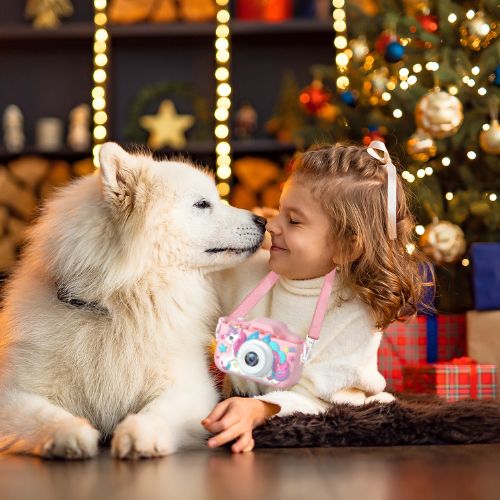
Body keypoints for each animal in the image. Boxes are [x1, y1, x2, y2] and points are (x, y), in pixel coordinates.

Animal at [0, 143, 266, 458]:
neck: (114, 305)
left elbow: (159, 411)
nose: (263, 220)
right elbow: (45, 415)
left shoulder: (191, 387)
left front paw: (139, 434)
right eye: (202, 204)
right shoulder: (14, 392)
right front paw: (70, 435)